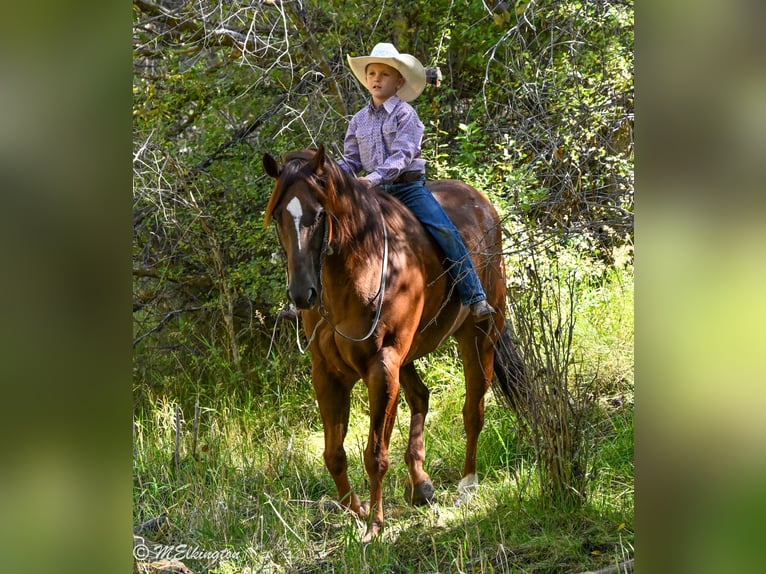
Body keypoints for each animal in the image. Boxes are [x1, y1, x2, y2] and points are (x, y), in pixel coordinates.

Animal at [263, 144, 526, 542]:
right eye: (279, 214)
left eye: (319, 214)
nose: (302, 293)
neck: (359, 269)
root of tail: (482, 202)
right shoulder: (327, 372)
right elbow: (333, 454)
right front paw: (356, 510)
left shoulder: (381, 366)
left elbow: (375, 454)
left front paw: (374, 525)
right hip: (409, 356)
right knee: (421, 397)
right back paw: (421, 485)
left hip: (479, 336)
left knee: (473, 410)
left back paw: (467, 486)